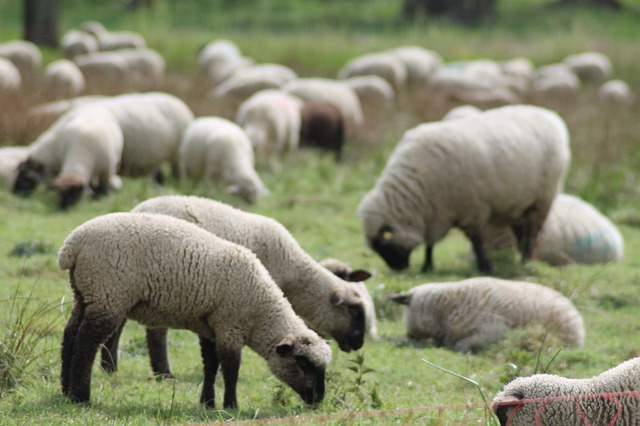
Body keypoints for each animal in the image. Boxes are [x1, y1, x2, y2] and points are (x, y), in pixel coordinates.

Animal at [57, 213, 332, 410]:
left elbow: (210, 365)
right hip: (108, 294)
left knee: (70, 334)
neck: (261, 311)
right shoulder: (229, 326)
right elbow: (231, 368)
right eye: (303, 364)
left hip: (85, 294)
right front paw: (231, 406)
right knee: (86, 342)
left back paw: (65, 390)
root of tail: (72, 245)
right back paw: (81, 396)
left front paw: (207, 403)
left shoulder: (209, 328)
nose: (319, 401)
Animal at [109, 195, 364, 378]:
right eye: (354, 310)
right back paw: (162, 372)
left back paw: (111, 367)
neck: (295, 275)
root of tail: (135, 211)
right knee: (154, 331)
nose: (359, 344)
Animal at [358, 105, 572, 274]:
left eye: (383, 245)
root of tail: (551, 116)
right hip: (518, 203)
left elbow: (476, 241)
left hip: (543, 199)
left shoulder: (472, 209)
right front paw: (427, 266)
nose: (398, 270)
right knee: (521, 230)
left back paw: (527, 260)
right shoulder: (434, 211)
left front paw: (485, 267)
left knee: (533, 232)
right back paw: (521, 258)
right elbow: (430, 242)